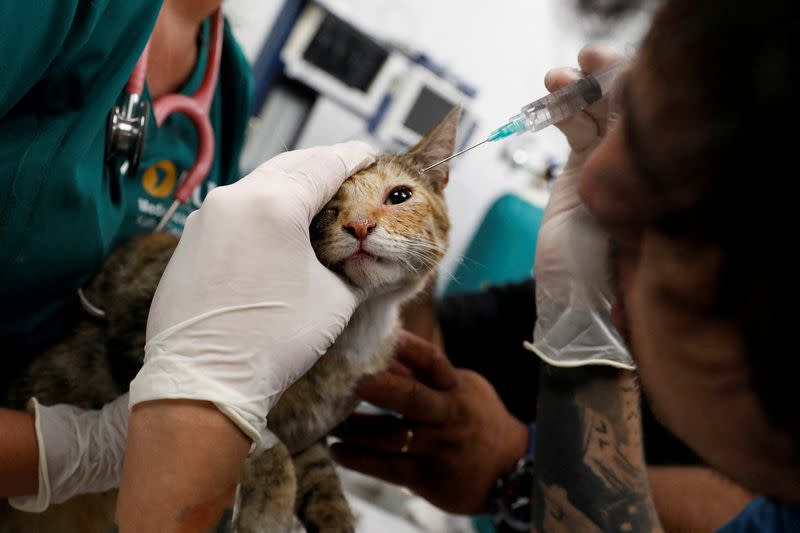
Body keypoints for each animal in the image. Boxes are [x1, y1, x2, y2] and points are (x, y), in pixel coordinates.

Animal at [0, 105, 460, 532]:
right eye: (328, 207)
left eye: (399, 196)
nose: (360, 226)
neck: (357, 324)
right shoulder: (139, 341)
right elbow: (256, 432)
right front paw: (268, 507)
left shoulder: (311, 432)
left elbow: (319, 473)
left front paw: (334, 515)